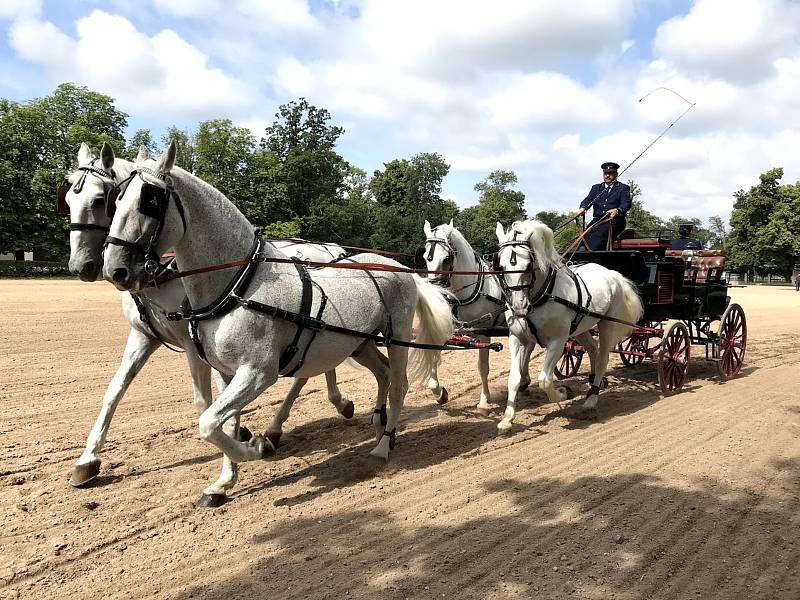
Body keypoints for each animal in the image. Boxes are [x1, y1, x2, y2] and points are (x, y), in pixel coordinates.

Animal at [101, 142, 450, 506]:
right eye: (116, 198)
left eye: (150, 200)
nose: (114, 269)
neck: (239, 285)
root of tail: (401, 268)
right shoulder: (224, 371)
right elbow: (223, 423)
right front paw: (223, 483)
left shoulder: (258, 372)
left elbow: (208, 423)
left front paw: (258, 447)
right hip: (359, 342)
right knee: (382, 372)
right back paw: (378, 423)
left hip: (397, 335)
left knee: (398, 384)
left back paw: (384, 445)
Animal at [418, 220, 532, 412]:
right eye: (426, 257)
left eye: (446, 259)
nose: (436, 293)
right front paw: (440, 394)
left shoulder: (483, 333)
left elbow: (483, 367)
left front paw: (484, 400)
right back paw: (524, 380)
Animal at [494, 220, 644, 432]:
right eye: (501, 265)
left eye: (529, 264)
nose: (519, 307)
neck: (541, 296)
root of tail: (612, 273)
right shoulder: (517, 339)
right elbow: (514, 379)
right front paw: (507, 419)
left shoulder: (558, 341)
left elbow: (545, 380)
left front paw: (564, 393)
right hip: (580, 328)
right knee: (593, 348)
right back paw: (594, 381)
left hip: (607, 325)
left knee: (602, 358)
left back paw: (591, 398)